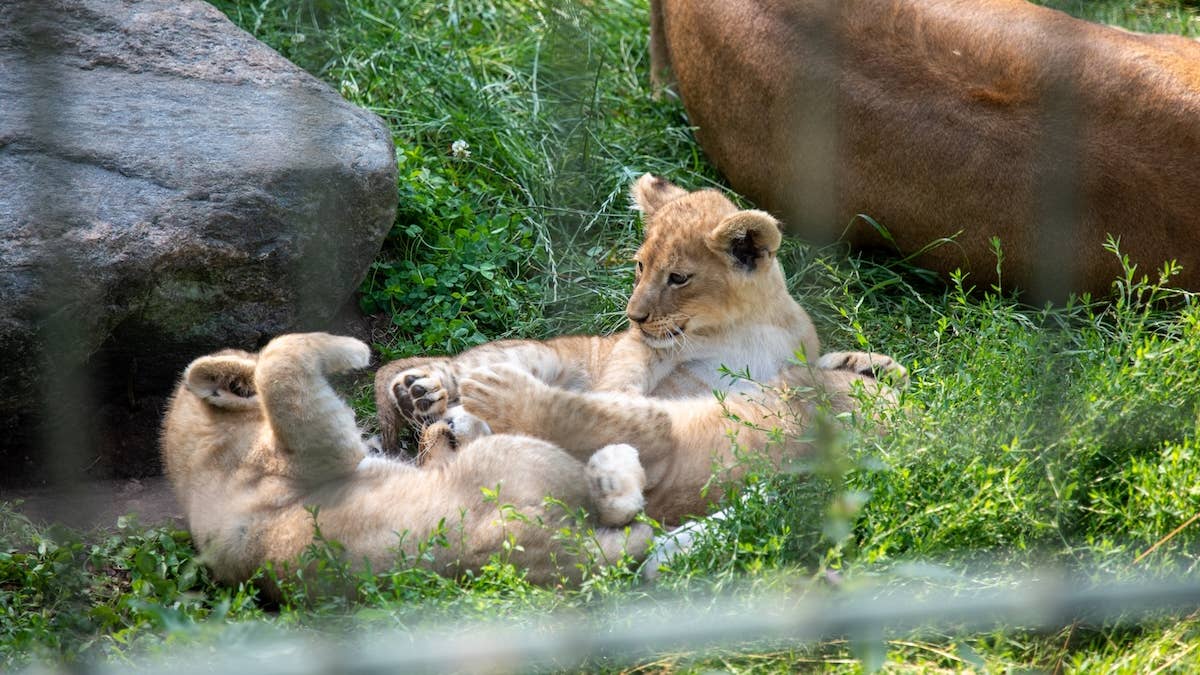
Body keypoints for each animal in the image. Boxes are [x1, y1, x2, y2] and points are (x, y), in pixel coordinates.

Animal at [159, 332, 651, 594]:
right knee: (617, 509)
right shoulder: (314, 451)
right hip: (517, 458)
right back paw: (616, 463)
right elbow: (277, 363)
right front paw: (353, 351)